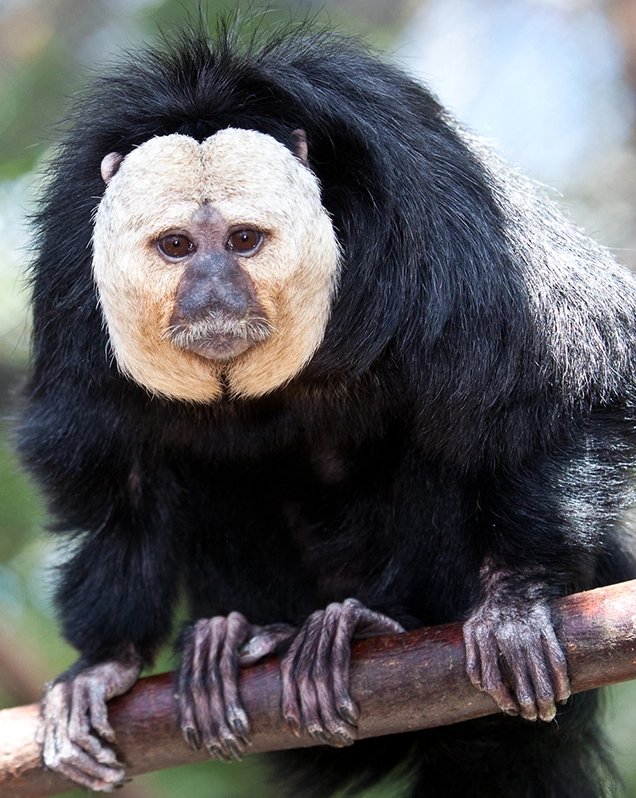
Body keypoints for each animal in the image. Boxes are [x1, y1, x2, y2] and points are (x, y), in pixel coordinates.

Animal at [19, 21, 636, 798]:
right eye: (177, 246)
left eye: (244, 240)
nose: (211, 294)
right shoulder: (71, 265)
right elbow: (112, 472)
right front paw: (106, 661)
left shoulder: (427, 203)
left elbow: (568, 370)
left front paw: (517, 600)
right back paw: (247, 636)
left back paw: (373, 624)